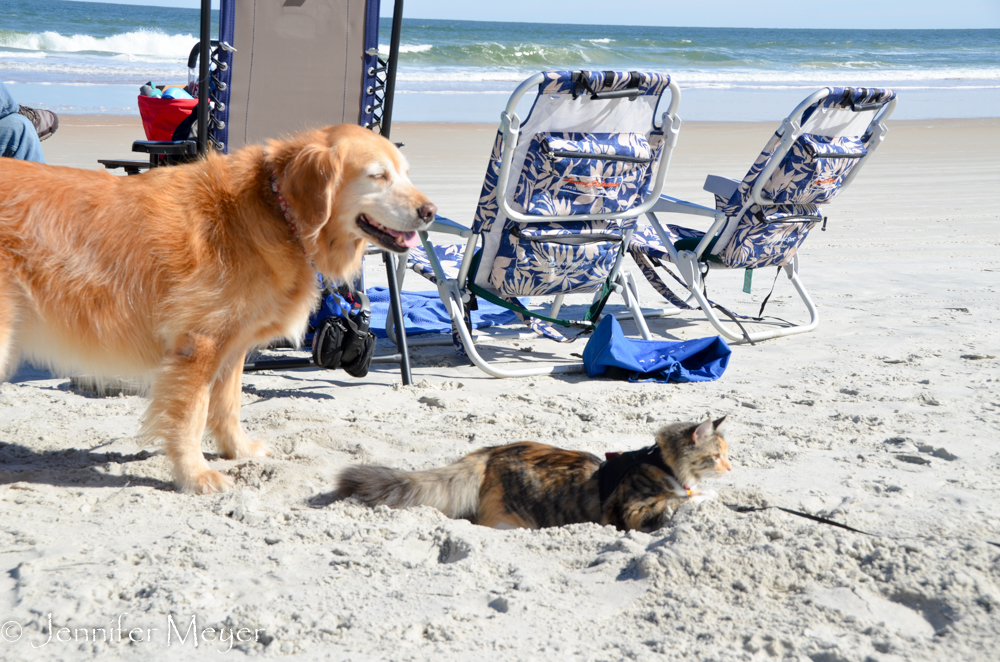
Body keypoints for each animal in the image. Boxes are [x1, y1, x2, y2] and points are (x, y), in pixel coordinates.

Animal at [0, 123, 438, 492]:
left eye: (406, 173)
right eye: (378, 175)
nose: (430, 212)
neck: (275, 210)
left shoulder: (233, 345)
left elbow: (228, 405)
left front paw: (238, 451)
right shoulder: (200, 345)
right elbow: (191, 417)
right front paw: (195, 475)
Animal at [332, 420, 732, 536]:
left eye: (728, 454)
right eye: (717, 455)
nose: (730, 468)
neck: (663, 462)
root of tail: (489, 452)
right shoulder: (633, 510)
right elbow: (679, 498)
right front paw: (705, 497)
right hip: (511, 520)